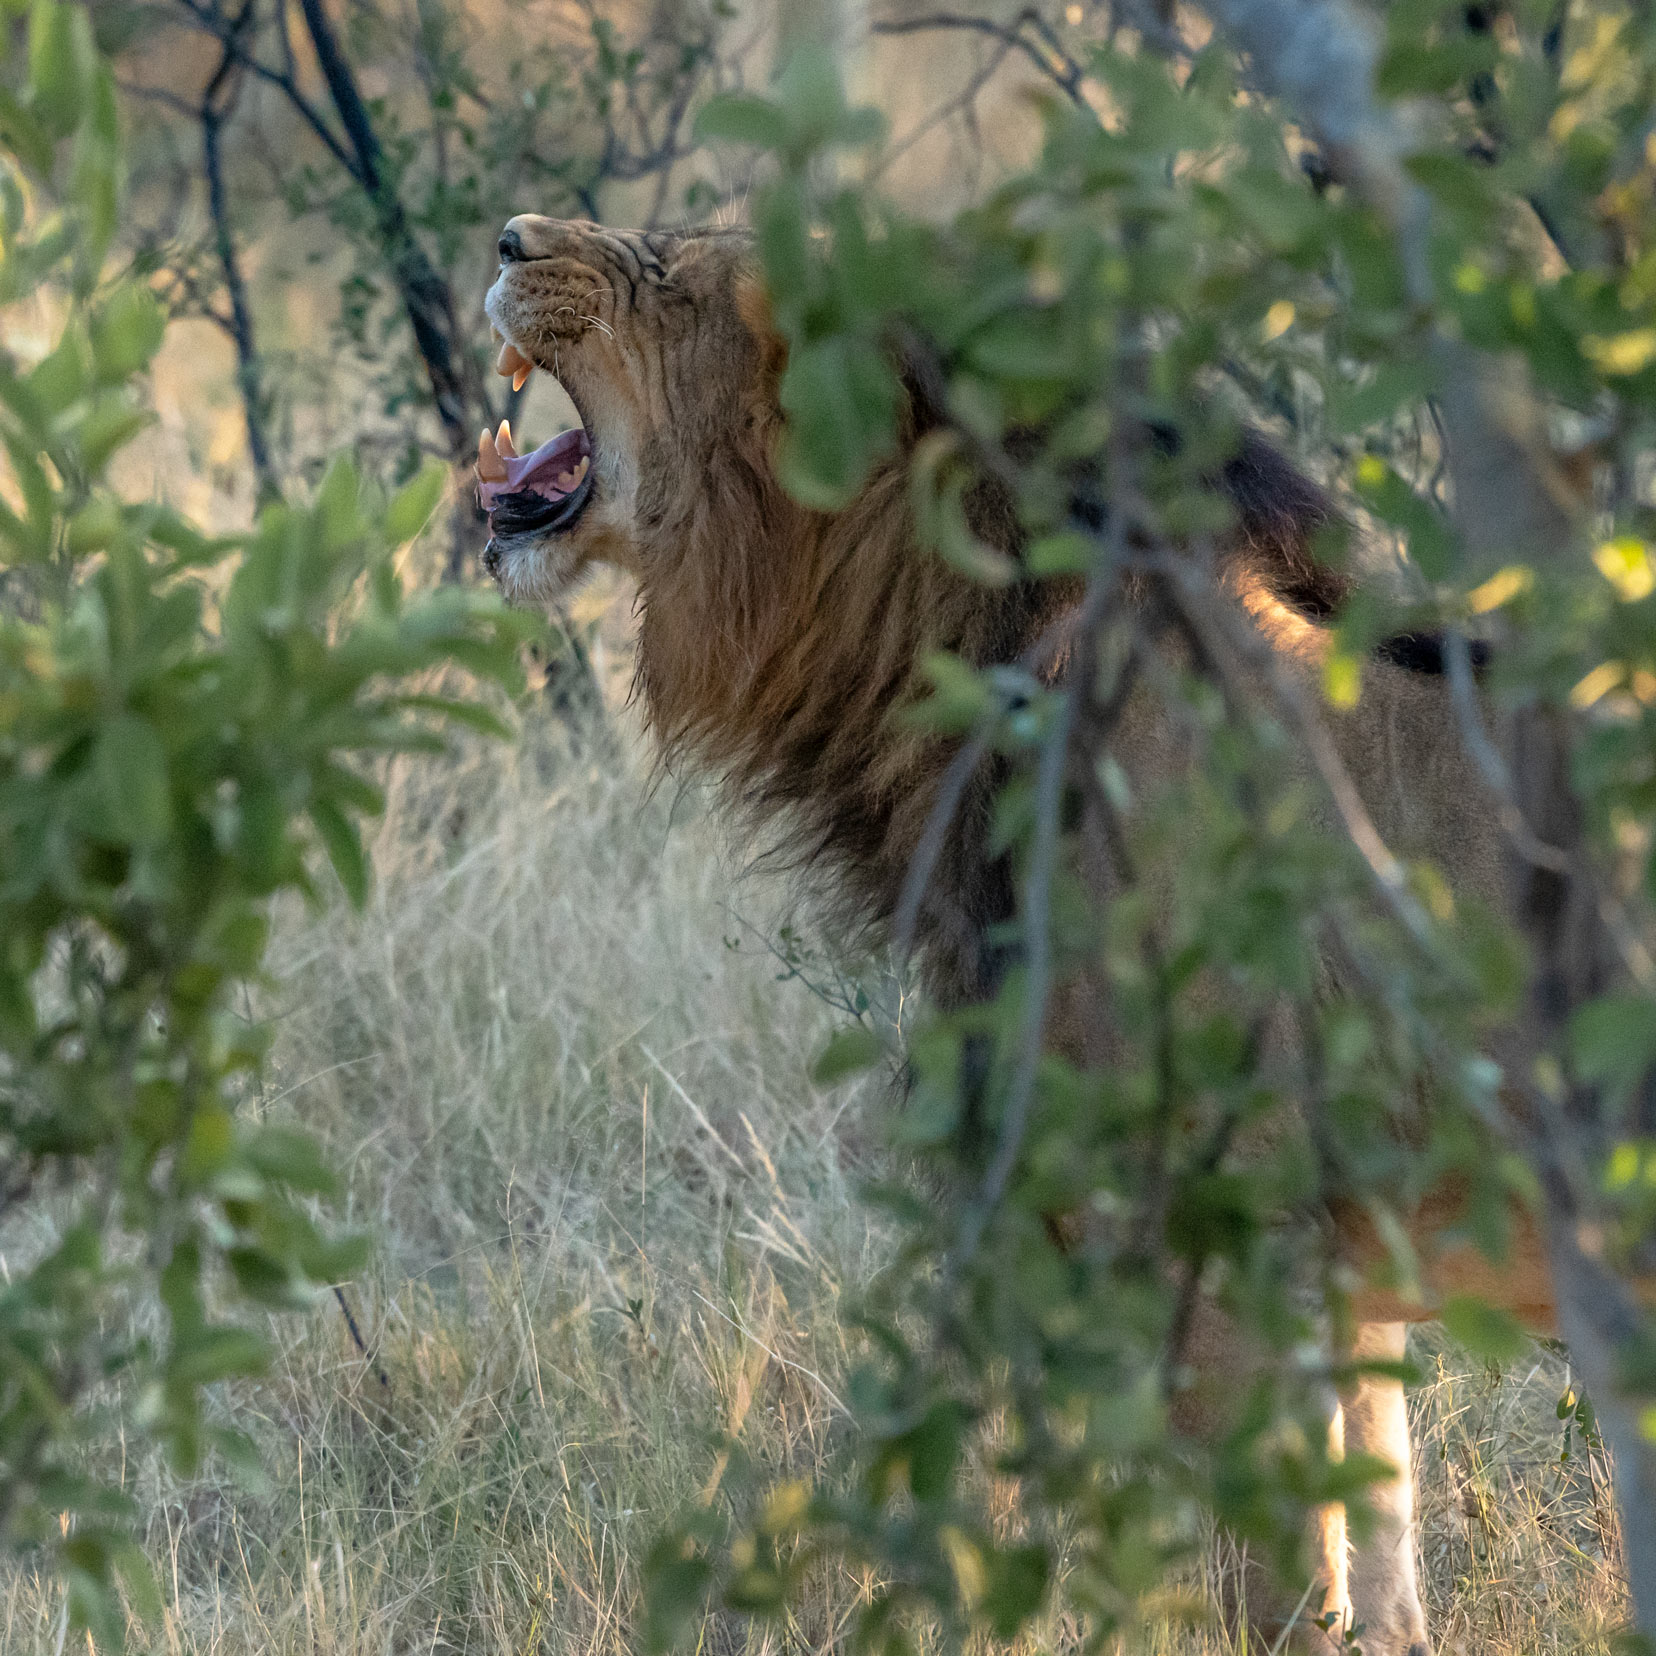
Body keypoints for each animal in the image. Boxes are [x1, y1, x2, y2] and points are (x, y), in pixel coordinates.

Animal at [473, 213, 1556, 1649]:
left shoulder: (1227, 1249)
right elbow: (1378, 1597)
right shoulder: (1344, 1274)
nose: (510, 236)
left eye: (686, 282)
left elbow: (1275, 1601)